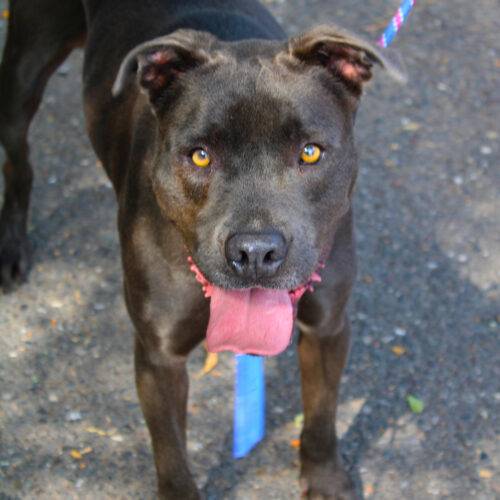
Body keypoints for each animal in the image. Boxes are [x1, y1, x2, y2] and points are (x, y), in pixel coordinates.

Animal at [0, 1, 404, 498]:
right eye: (199, 155)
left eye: (310, 152)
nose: (255, 252)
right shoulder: (159, 358)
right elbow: (171, 453)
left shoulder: (328, 328)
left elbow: (322, 415)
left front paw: (325, 477)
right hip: (22, 73)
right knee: (18, 159)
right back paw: (12, 246)